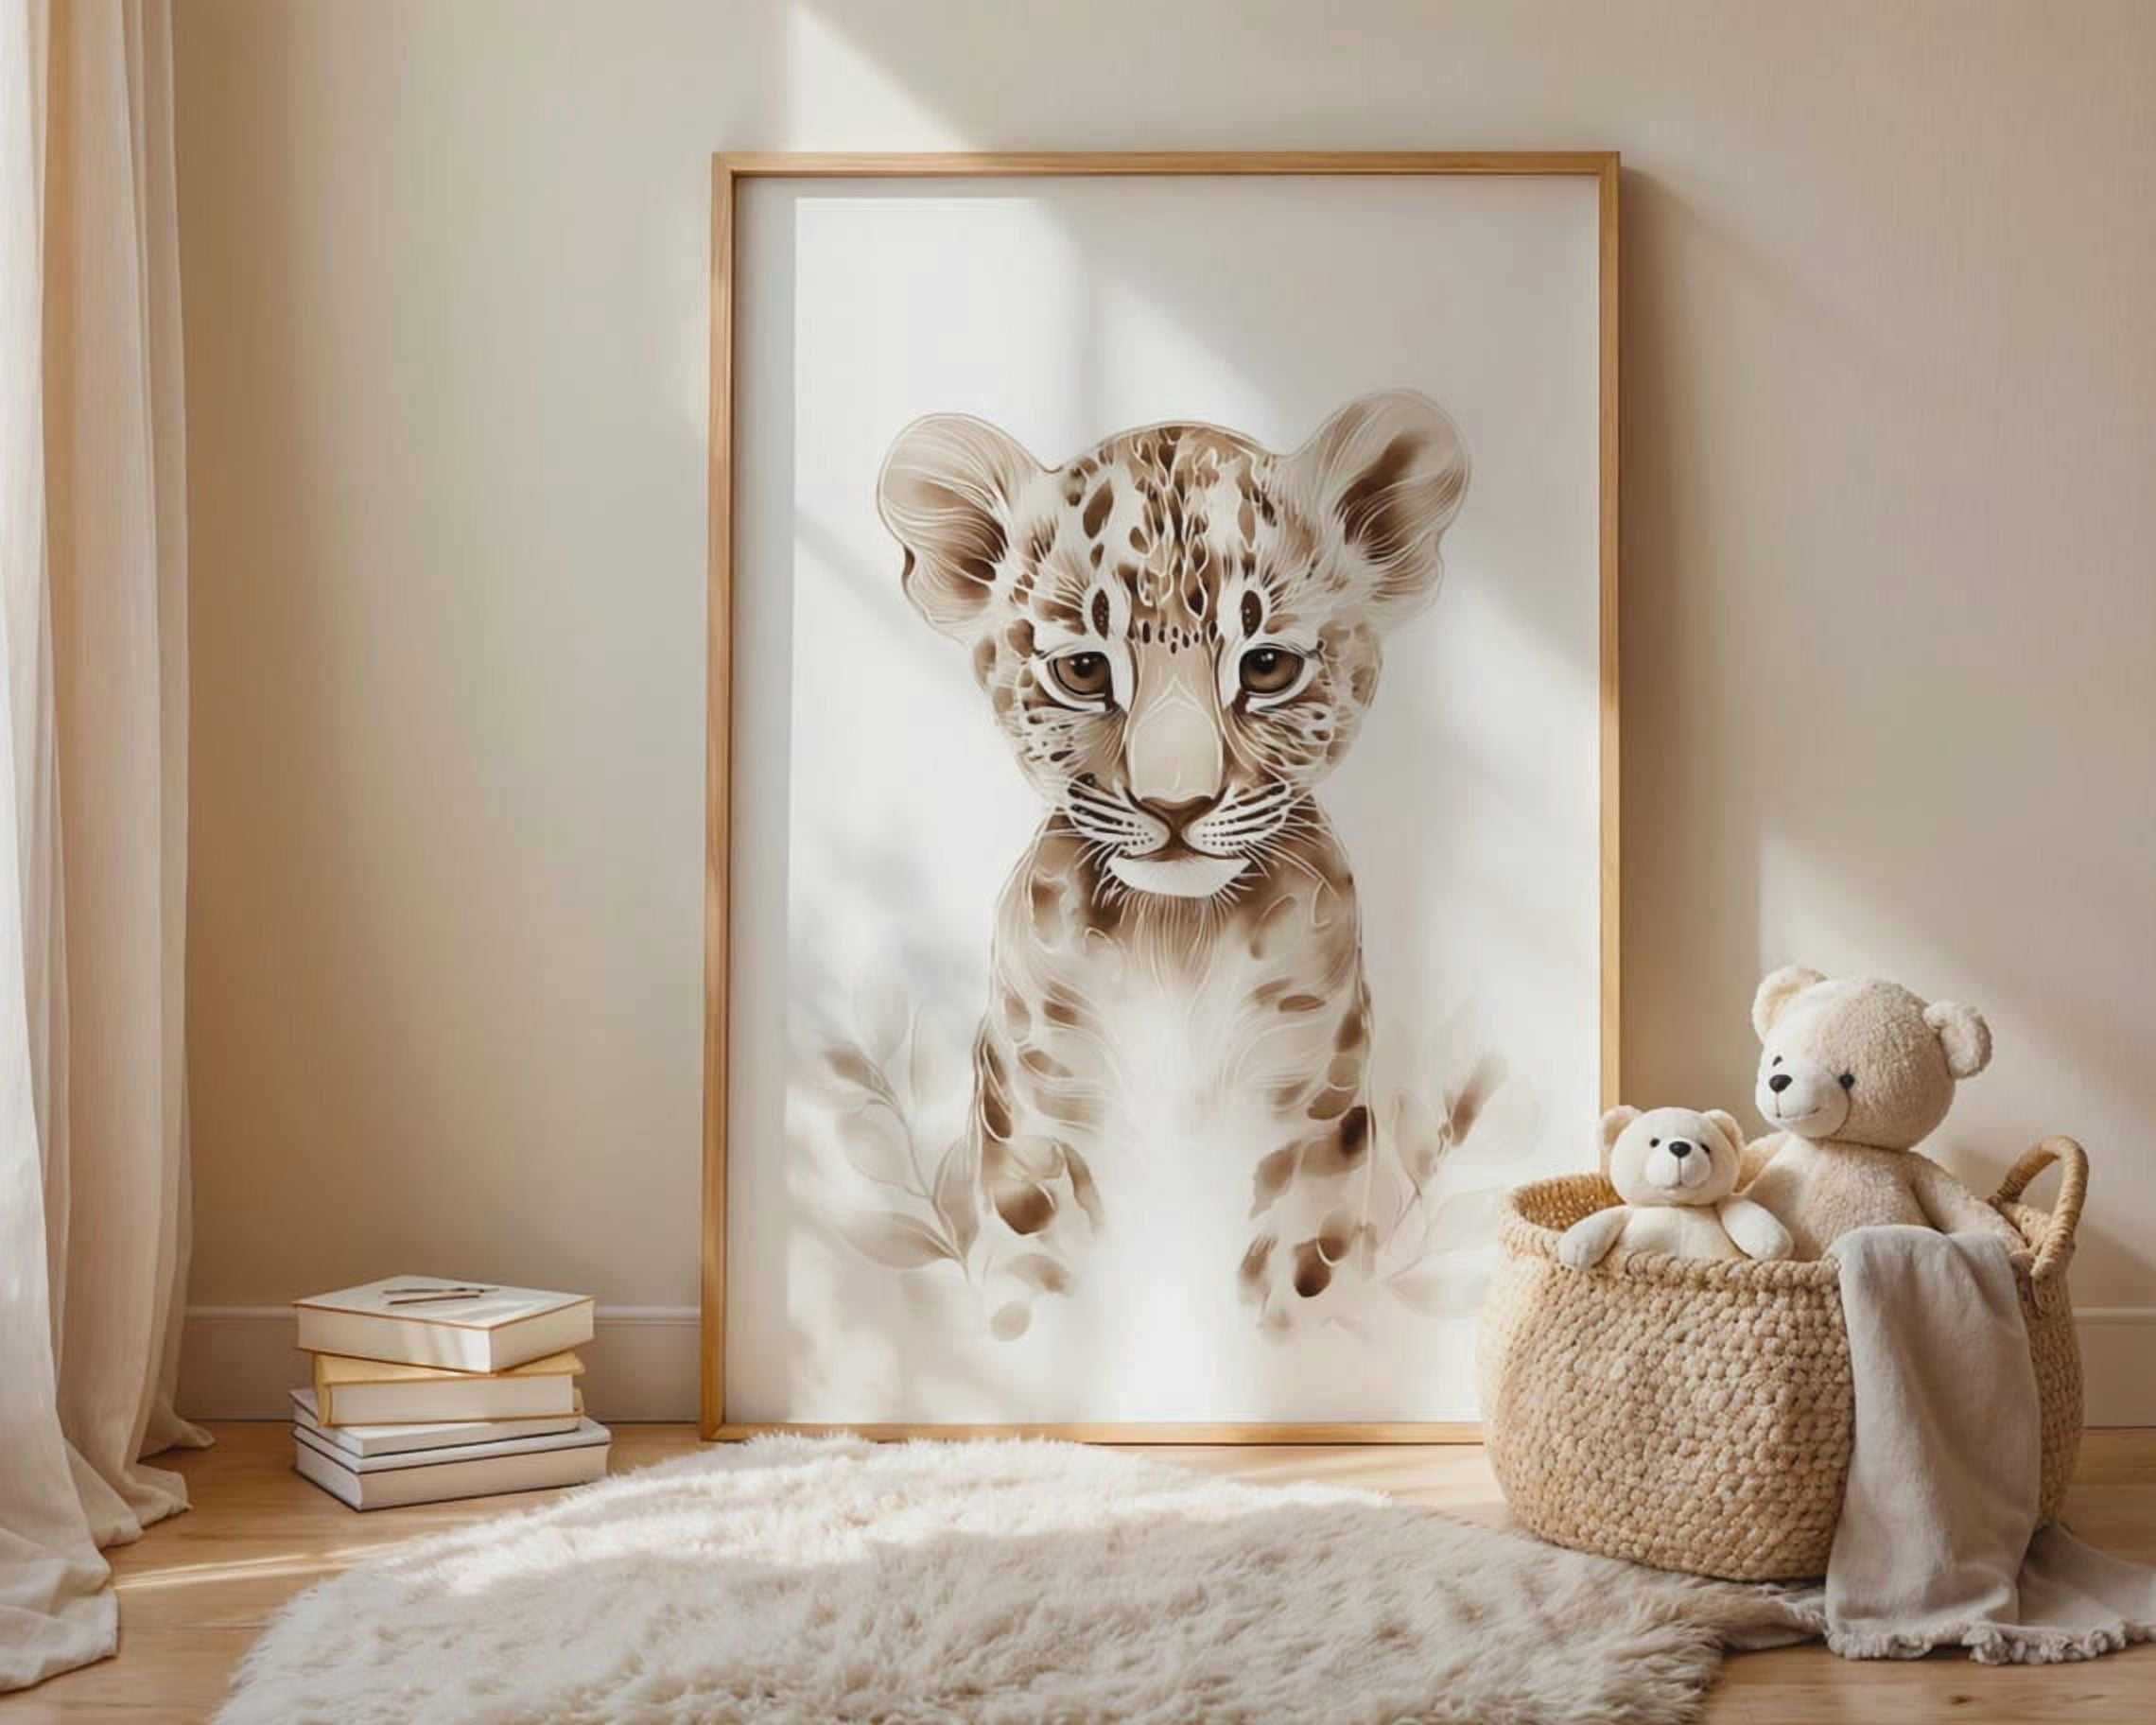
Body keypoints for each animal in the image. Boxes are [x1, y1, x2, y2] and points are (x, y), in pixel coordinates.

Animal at [876, 390, 1469, 1326]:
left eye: (1267, 666)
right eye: (1085, 670)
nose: (1177, 805)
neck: (1176, 939)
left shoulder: (1306, 1124)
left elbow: (1300, 1288)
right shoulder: (1045, 1130)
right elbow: (1036, 1289)